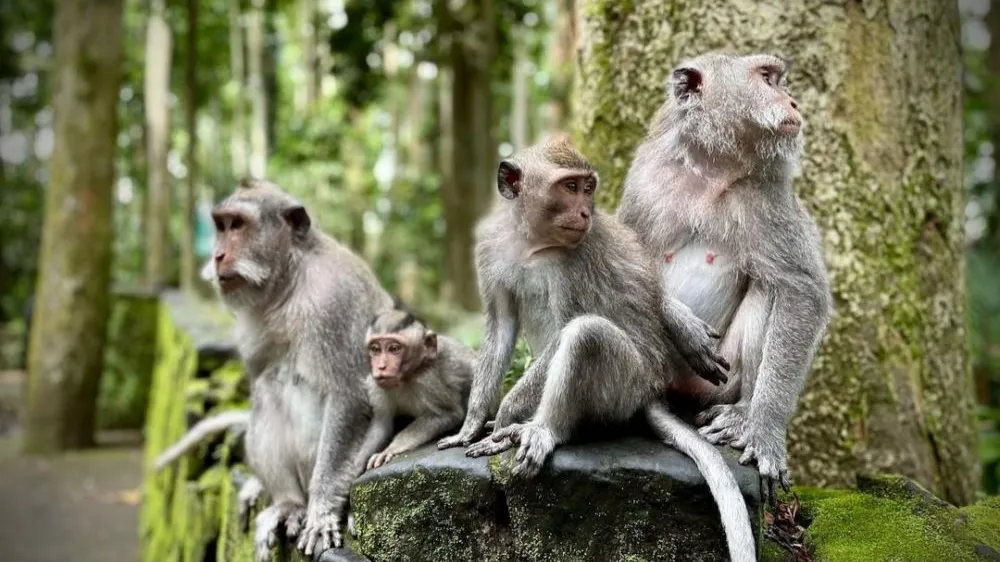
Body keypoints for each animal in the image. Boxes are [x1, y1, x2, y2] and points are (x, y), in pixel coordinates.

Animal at [203, 178, 394, 561]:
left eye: (238, 225)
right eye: (221, 225)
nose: (217, 256)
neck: (291, 280)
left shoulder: (332, 301)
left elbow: (350, 397)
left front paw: (321, 512)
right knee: (266, 388)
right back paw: (288, 504)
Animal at [351, 304, 475, 472]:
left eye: (394, 348)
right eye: (375, 349)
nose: (381, 367)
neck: (406, 377)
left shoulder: (429, 380)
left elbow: (447, 414)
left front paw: (390, 449)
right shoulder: (376, 385)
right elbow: (382, 424)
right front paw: (356, 466)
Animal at [436, 135, 756, 562]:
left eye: (588, 188)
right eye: (570, 187)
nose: (586, 211)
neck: (531, 243)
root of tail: (652, 389)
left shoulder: (575, 261)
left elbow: (565, 330)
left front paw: (503, 419)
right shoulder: (491, 248)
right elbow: (500, 328)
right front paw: (472, 424)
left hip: (626, 387)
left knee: (586, 336)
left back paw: (542, 430)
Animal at [615, 52, 834, 506]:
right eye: (767, 78)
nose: (793, 102)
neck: (708, 169)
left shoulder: (767, 194)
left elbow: (801, 290)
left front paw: (765, 431)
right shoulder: (644, 177)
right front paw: (682, 325)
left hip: (720, 382)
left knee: (770, 289)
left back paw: (744, 413)